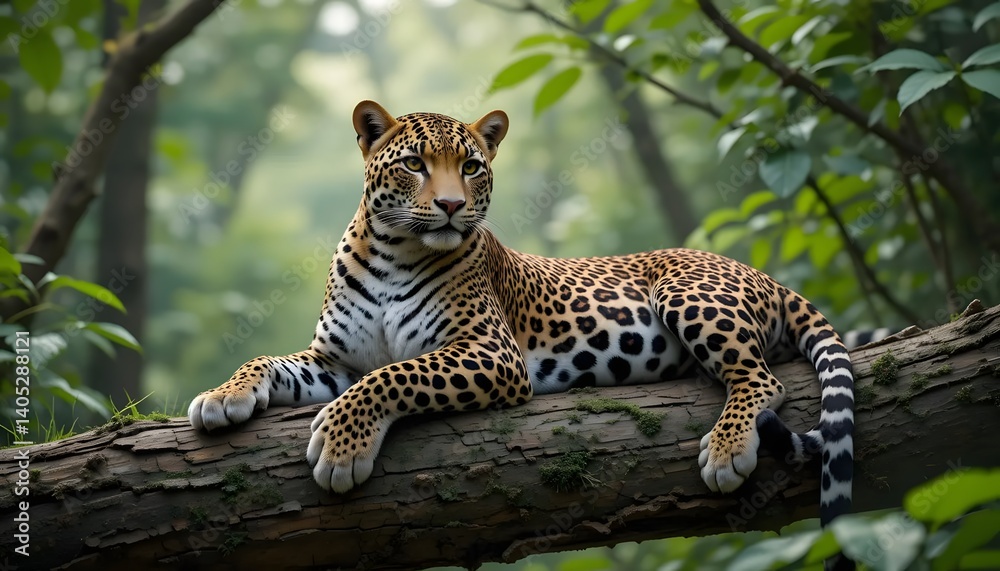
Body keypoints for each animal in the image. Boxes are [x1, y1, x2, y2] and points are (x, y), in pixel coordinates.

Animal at [188, 100, 855, 538]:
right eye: (414, 164)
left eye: (472, 166)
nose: (451, 205)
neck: (394, 251)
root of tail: (760, 273)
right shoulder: (333, 361)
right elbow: (271, 360)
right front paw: (223, 396)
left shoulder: (490, 351)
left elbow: (393, 376)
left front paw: (342, 446)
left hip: (687, 293)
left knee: (760, 378)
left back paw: (726, 448)